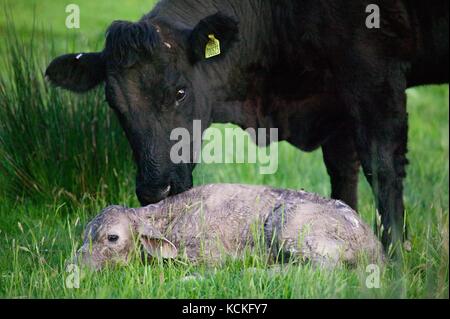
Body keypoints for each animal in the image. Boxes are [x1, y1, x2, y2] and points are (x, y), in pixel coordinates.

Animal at [46, 0, 450, 251]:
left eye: (180, 92)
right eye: (112, 103)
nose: (155, 189)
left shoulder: (373, 73)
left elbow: (383, 170)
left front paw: (394, 256)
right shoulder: (336, 103)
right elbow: (343, 178)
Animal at [76, 185, 384, 270]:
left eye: (112, 237)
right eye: (85, 235)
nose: (75, 265)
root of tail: (375, 246)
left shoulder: (207, 255)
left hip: (294, 228)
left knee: (321, 269)